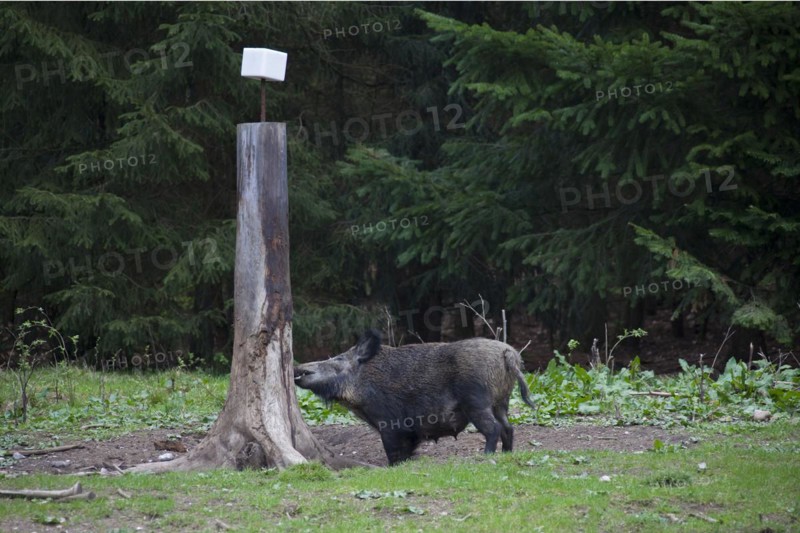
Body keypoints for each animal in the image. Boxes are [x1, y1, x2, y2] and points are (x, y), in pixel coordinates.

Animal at [294, 329, 536, 465]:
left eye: (339, 359)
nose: (297, 368)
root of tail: (508, 353)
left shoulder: (389, 423)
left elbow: (393, 452)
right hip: (501, 401)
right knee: (508, 427)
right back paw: (506, 454)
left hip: (477, 401)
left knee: (494, 428)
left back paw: (485, 457)